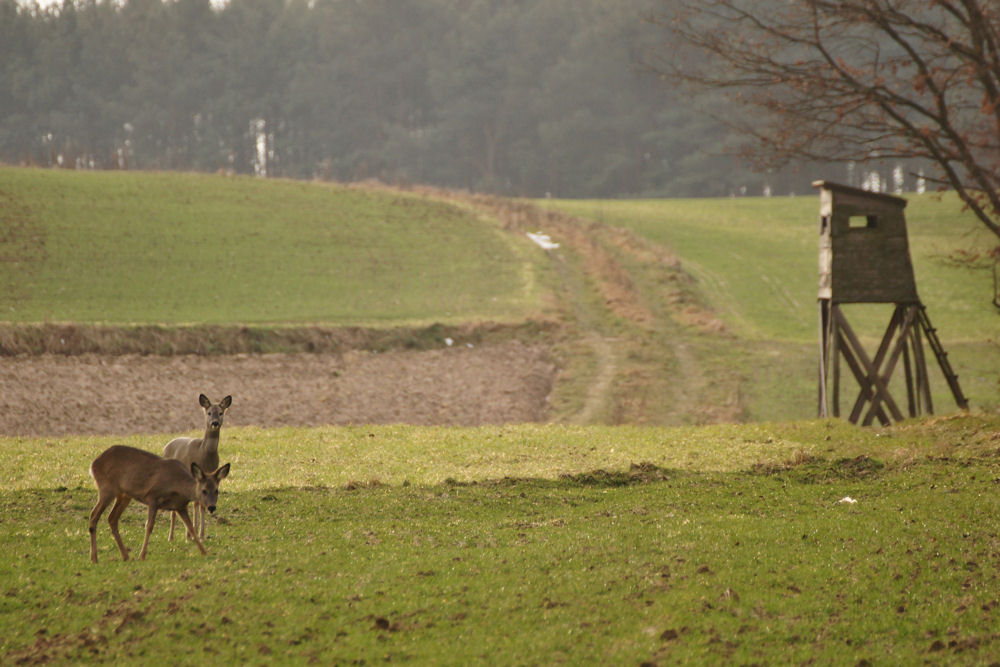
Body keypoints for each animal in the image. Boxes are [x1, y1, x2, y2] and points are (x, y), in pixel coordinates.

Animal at [88, 444, 230, 564]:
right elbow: (149, 526)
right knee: (94, 515)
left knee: (112, 518)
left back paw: (125, 556)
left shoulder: (180, 506)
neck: (178, 485)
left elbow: (191, 528)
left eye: (216, 490)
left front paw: (204, 552)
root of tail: (93, 464)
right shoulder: (153, 497)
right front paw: (142, 555)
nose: (212, 507)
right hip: (107, 488)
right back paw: (94, 558)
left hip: (124, 495)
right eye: (204, 490)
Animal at [165, 392, 233, 544]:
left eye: (221, 413)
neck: (204, 454)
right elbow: (196, 502)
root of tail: (167, 445)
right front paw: (191, 534)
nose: (215, 423)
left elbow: (201, 504)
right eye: (209, 413)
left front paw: (201, 535)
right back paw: (171, 537)